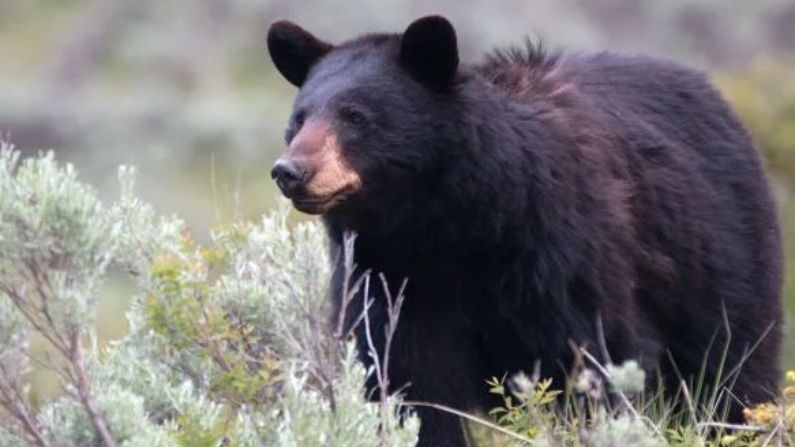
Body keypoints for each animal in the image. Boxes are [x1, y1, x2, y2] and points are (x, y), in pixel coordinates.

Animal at [266, 15, 782, 446]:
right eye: (300, 118)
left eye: (356, 116)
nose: (291, 171)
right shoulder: (389, 279)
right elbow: (408, 381)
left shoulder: (561, 251)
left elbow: (593, 357)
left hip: (721, 254)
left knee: (732, 364)